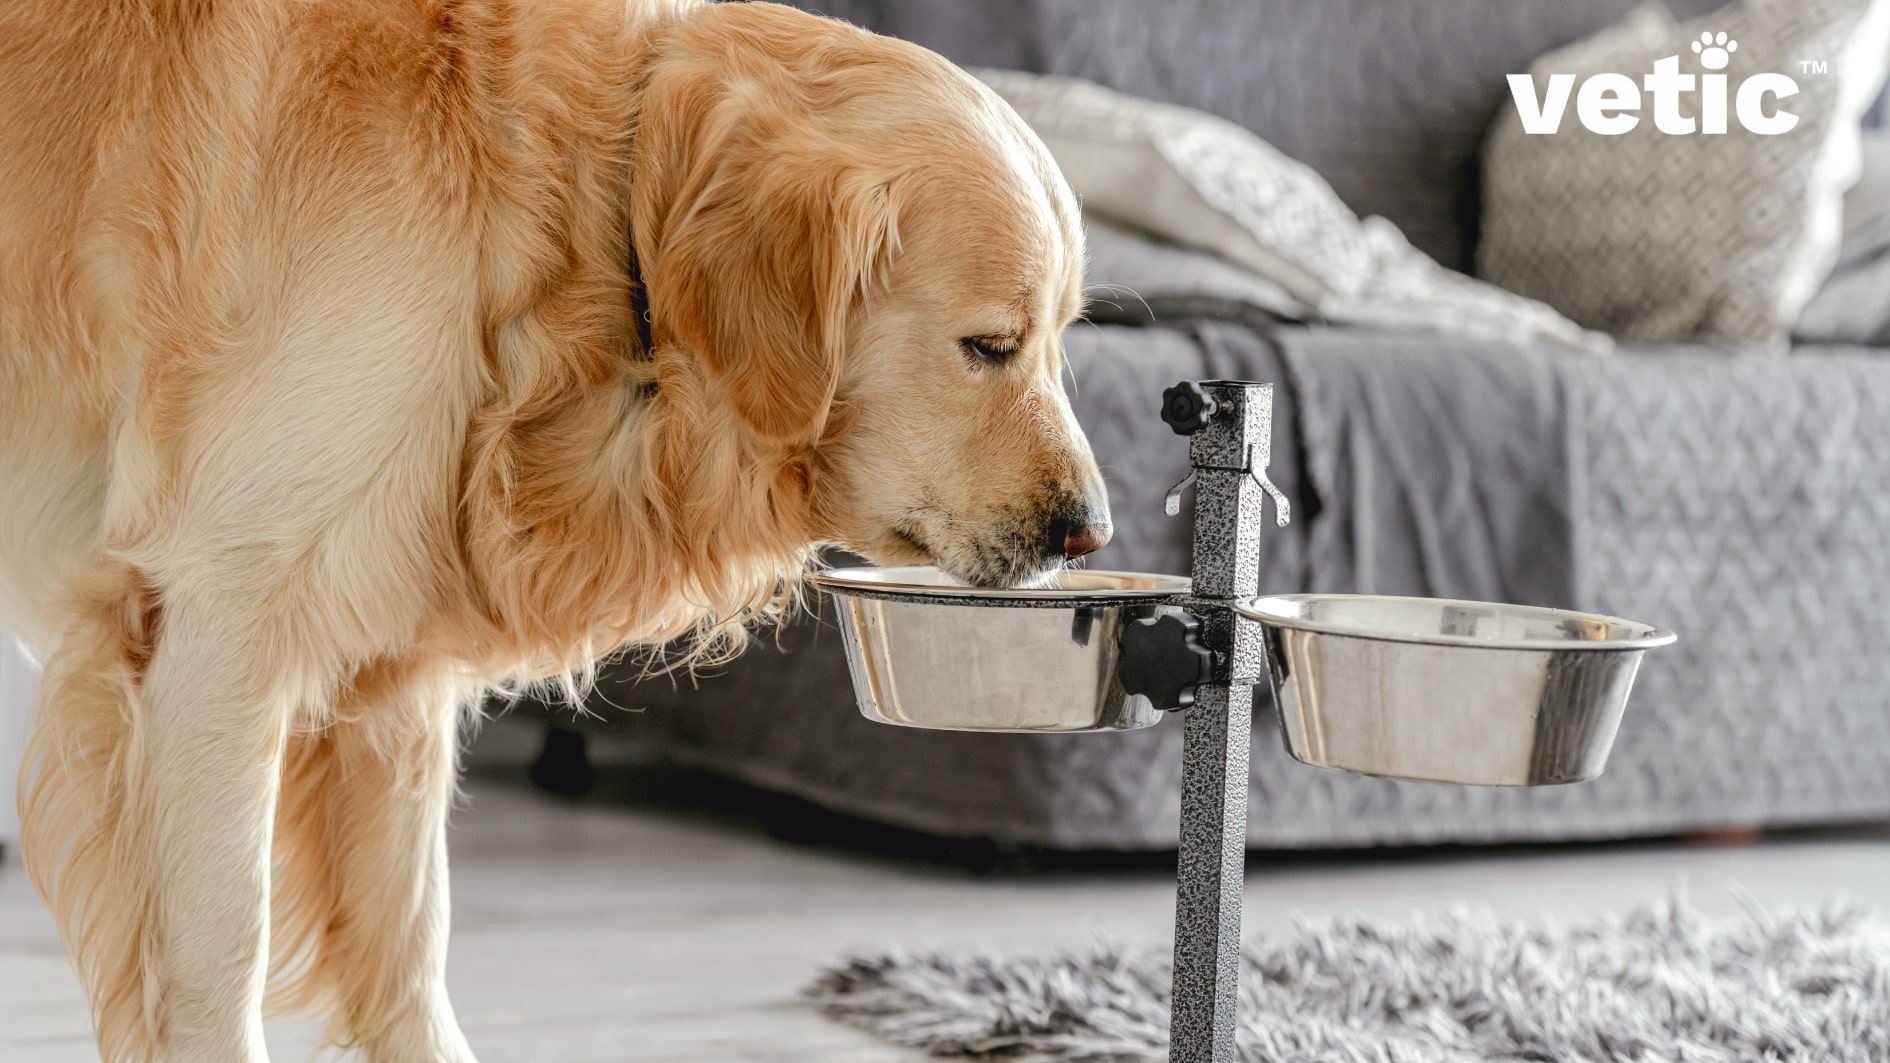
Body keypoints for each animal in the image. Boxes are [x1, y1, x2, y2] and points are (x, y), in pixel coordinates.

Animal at [0, 4, 1103, 1051]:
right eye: (990, 345)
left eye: (1064, 337)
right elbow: (223, 950)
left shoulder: (389, 657)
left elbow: (411, 943)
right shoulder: (215, 624)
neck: (581, 191)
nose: (1089, 530)